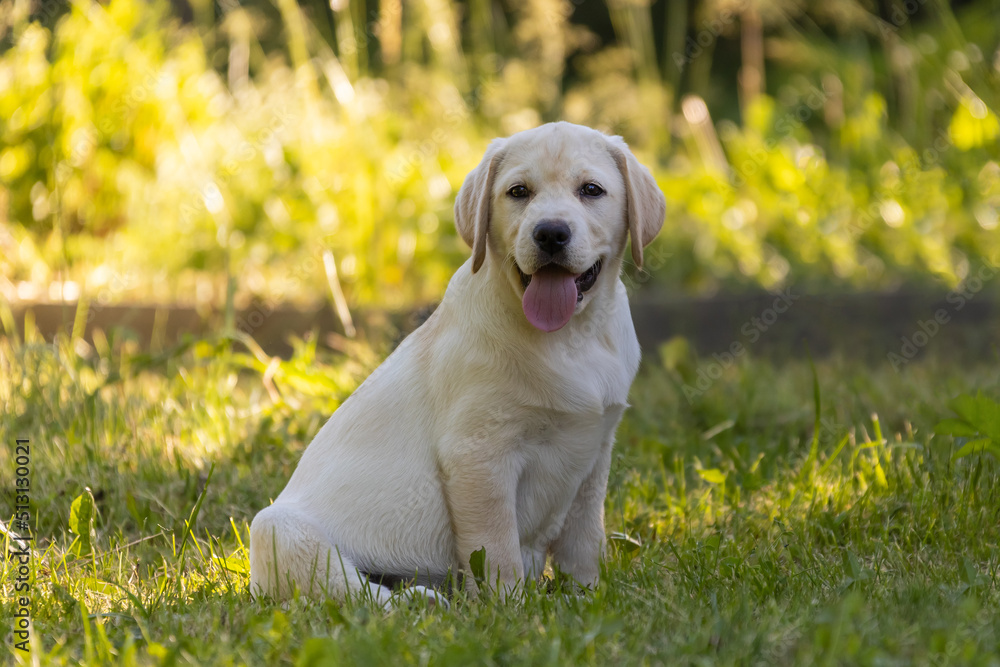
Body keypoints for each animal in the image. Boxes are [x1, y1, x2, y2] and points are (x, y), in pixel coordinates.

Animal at [248, 120, 664, 604]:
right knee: (358, 593)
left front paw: (587, 597)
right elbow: (496, 546)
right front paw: (511, 606)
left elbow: (584, 540)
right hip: (277, 530)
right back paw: (421, 601)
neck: (572, 338)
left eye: (591, 190)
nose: (550, 233)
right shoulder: (478, 455)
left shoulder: (595, 452)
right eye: (518, 192)